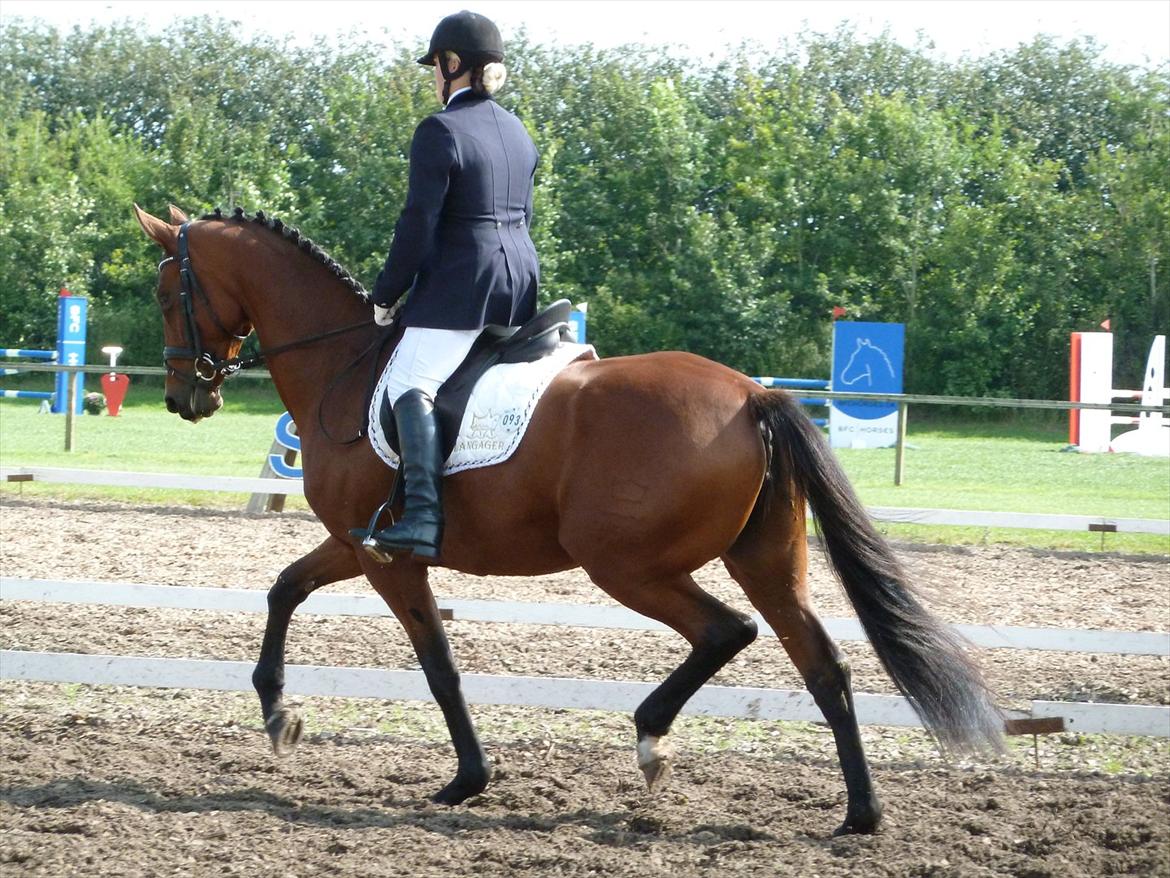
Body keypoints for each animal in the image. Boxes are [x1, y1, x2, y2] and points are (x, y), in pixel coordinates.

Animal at [132, 206, 1001, 838]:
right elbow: (285, 588)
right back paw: (860, 815)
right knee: (821, 663)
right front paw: (279, 713)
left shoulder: (388, 556)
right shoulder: (357, 542)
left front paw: (465, 780)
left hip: (626, 564)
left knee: (728, 631)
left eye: (165, 293)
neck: (345, 366)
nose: (184, 397)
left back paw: (652, 738)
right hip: (763, 559)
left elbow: (436, 662)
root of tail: (753, 394)